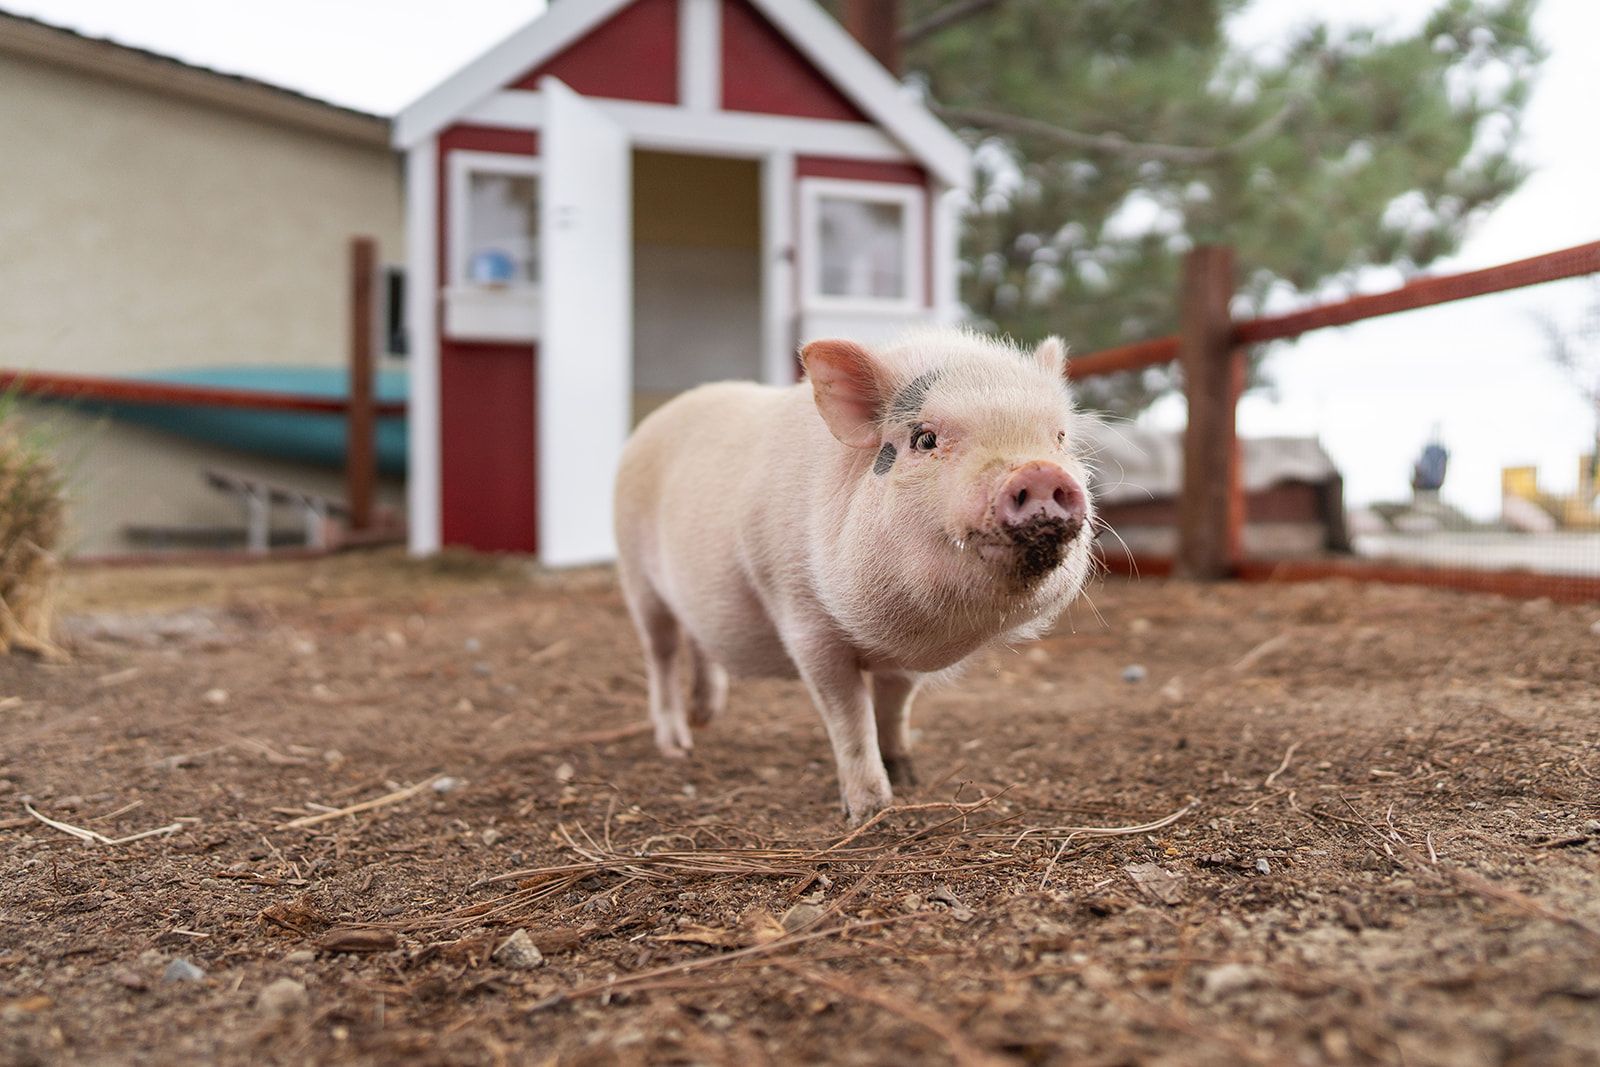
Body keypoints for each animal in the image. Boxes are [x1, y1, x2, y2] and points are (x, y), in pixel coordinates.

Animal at [614, 328, 1095, 823]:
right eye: (925, 439)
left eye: (1059, 438)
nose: (1040, 472)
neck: (903, 631)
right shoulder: (805, 623)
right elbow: (849, 717)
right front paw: (870, 810)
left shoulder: (903, 659)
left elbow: (894, 705)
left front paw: (908, 776)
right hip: (635, 572)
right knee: (661, 652)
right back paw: (677, 746)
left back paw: (705, 717)